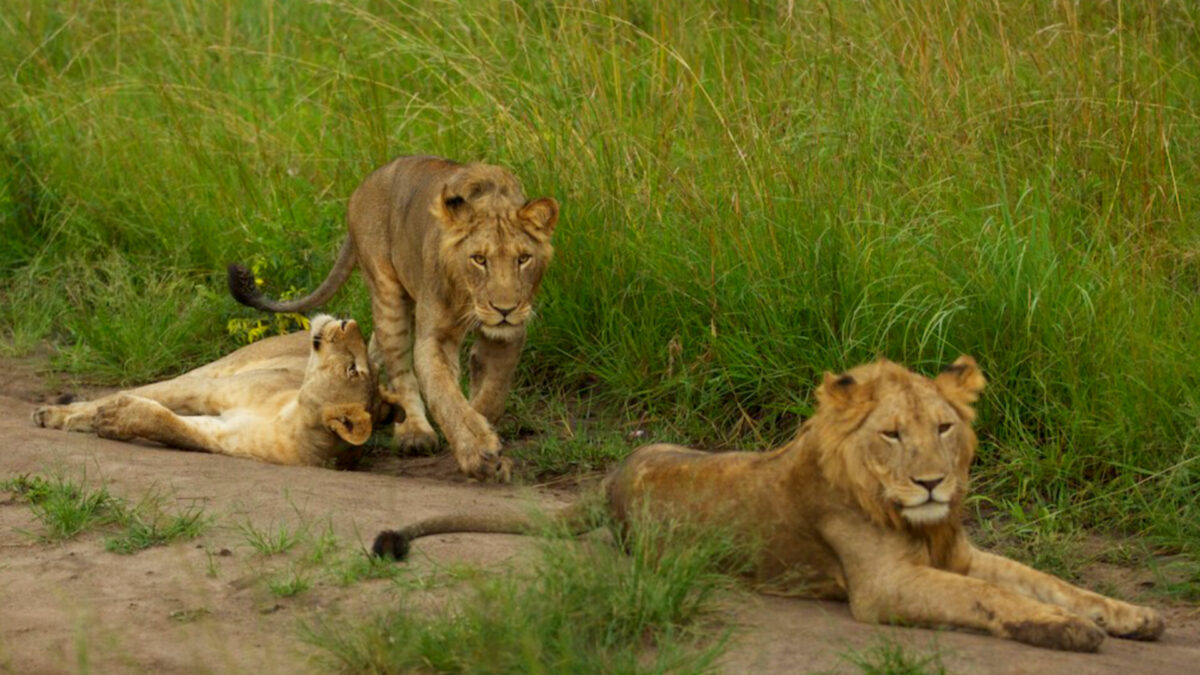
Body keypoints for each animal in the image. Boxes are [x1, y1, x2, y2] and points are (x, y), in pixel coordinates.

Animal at [33, 315, 390, 467]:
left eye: (353, 369)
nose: (349, 321)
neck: (290, 417)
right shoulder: (207, 390)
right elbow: (147, 396)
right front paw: (59, 414)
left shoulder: (219, 436)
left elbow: (170, 424)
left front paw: (113, 417)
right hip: (216, 368)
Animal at [228, 155, 559, 482]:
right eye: (479, 259)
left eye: (523, 259)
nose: (505, 309)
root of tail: (365, 183)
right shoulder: (434, 337)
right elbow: (445, 394)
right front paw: (476, 451)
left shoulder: (508, 334)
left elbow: (492, 392)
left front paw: (484, 432)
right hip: (388, 293)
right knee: (399, 365)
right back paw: (413, 433)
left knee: (374, 348)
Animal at [371, 356, 1164, 652]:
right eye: (892, 434)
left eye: (944, 428)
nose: (932, 483)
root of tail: (612, 477)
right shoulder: (885, 585)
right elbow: (991, 599)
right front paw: (1068, 630)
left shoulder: (960, 551)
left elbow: (1048, 579)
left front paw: (1131, 614)